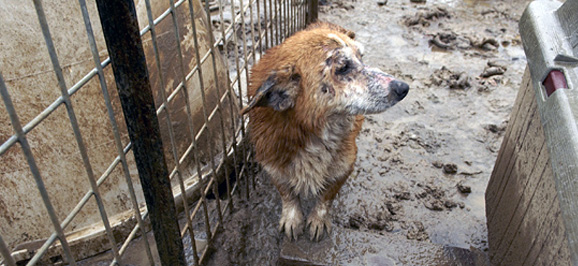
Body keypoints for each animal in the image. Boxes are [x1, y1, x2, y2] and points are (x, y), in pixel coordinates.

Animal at [241, 21, 408, 240]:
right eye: (343, 68)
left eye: (361, 58)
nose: (404, 87)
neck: (313, 134)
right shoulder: (271, 163)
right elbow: (287, 193)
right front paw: (292, 218)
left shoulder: (346, 164)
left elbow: (326, 196)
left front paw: (317, 220)